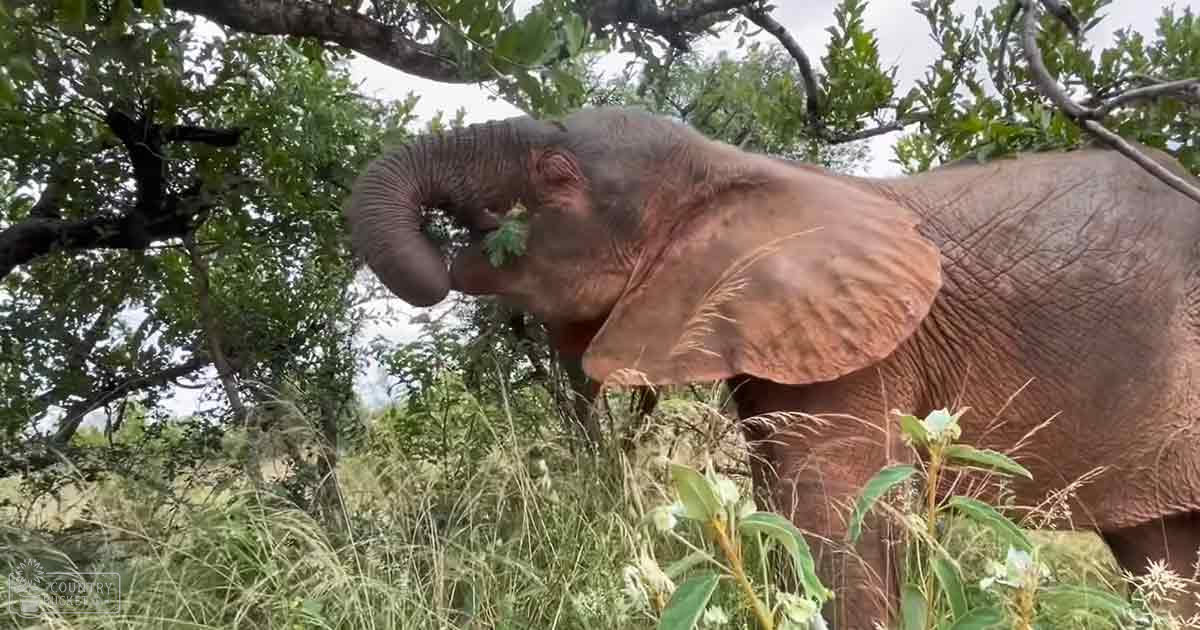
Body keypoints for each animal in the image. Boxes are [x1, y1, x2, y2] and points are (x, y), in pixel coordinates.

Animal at [344, 106, 1200, 627]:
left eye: (555, 173)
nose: (456, 239)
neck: (731, 169)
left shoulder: (856, 351)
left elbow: (833, 522)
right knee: (1162, 552)